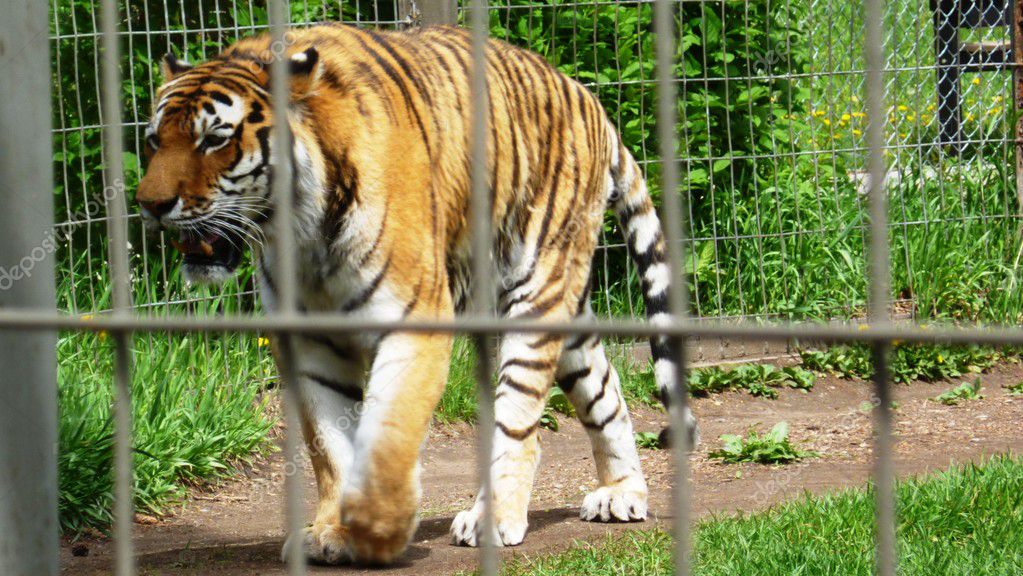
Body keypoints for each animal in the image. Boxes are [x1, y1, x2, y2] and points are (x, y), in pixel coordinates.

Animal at [135, 23, 698, 565]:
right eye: (154, 141)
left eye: (215, 139)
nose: (150, 205)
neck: (304, 235)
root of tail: (587, 98)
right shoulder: (311, 342)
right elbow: (330, 447)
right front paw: (335, 532)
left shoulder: (414, 321)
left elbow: (388, 438)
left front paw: (378, 530)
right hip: (566, 316)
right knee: (606, 390)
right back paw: (622, 493)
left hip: (538, 289)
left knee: (520, 421)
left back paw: (493, 518)